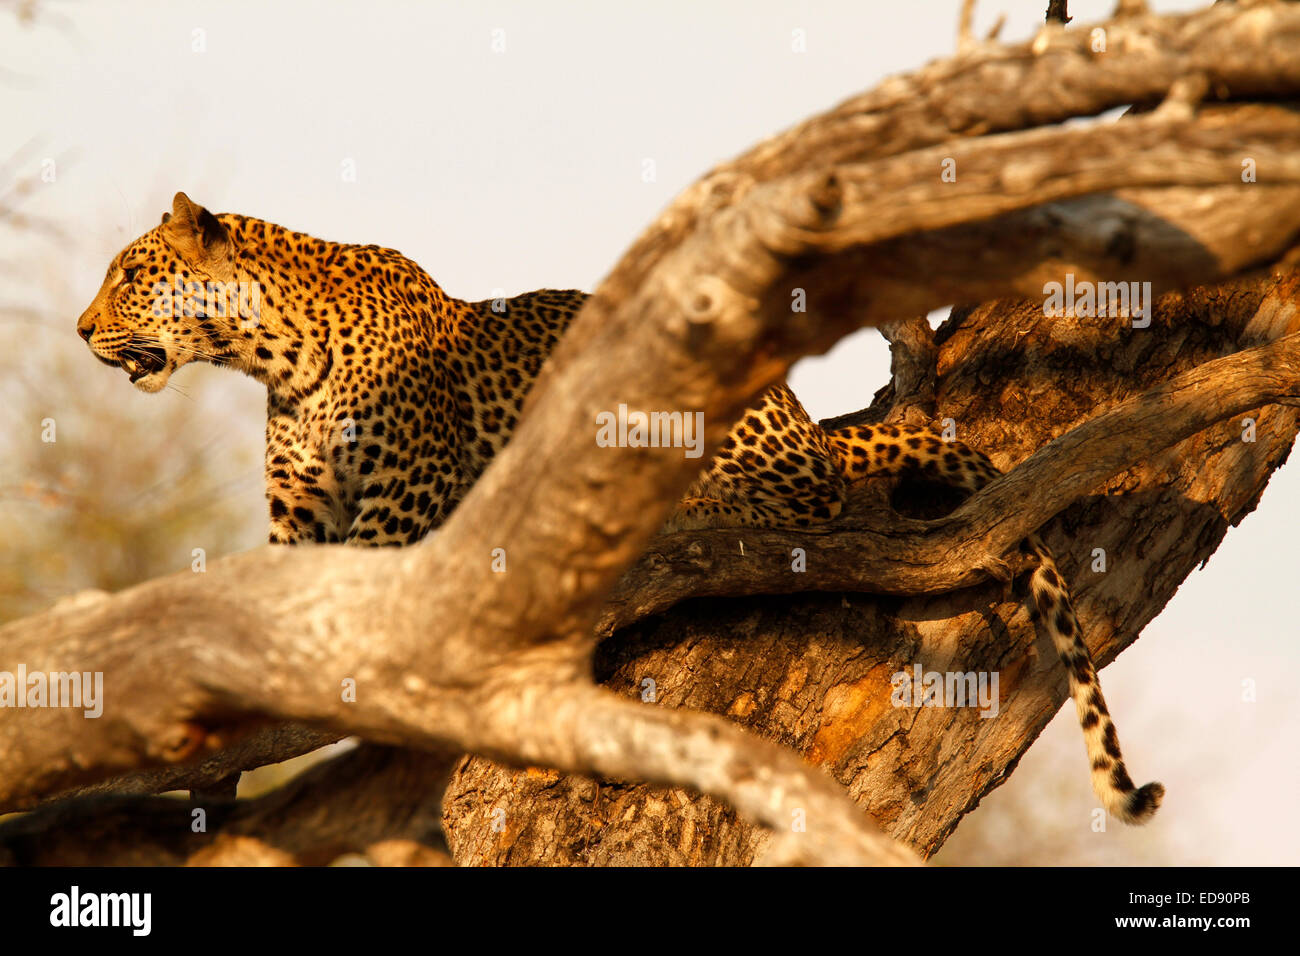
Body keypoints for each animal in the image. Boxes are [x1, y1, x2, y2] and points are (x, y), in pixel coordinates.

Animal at [76, 192, 1164, 822]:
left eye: (132, 273)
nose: (84, 331)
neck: (275, 354)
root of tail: (808, 420)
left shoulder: (404, 500)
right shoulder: (299, 511)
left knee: (808, 501)